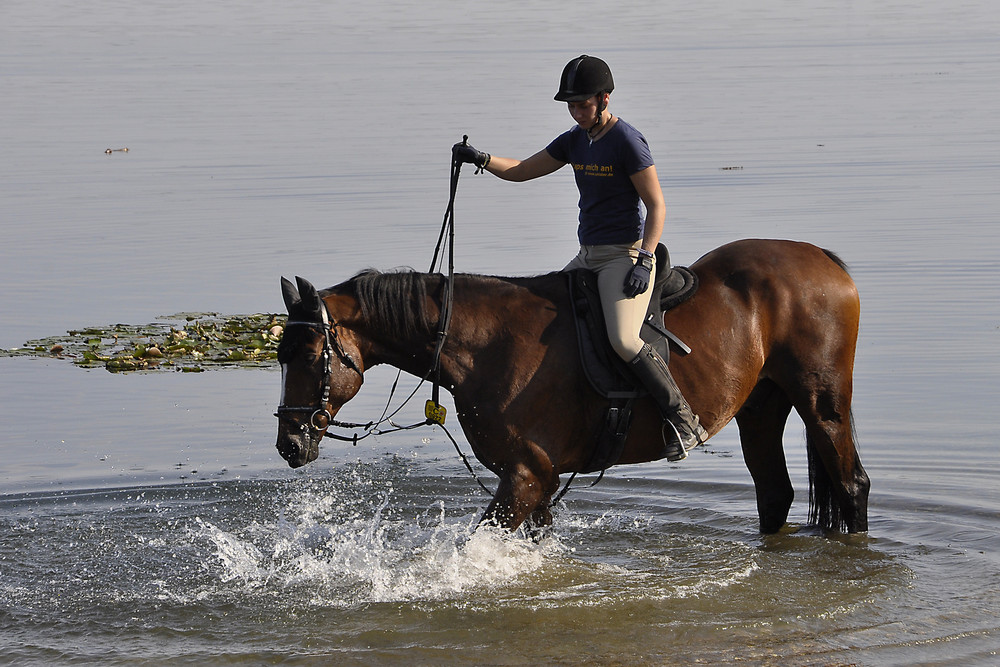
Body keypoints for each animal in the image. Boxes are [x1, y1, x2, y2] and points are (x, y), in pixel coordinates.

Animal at [274, 240, 868, 536]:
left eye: (306, 354)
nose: (289, 443)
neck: (485, 344)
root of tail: (821, 258)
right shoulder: (537, 480)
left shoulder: (526, 475)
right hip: (761, 406)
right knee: (776, 492)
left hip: (821, 402)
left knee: (852, 485)